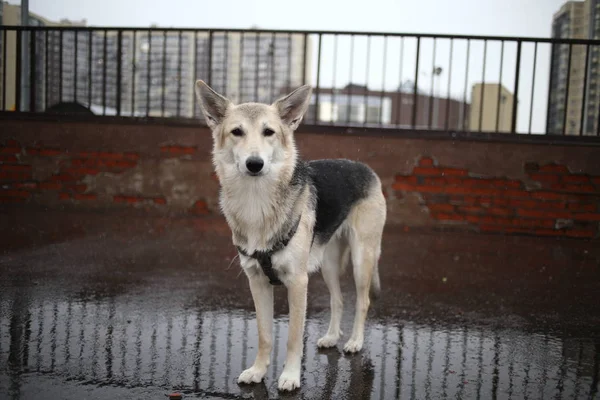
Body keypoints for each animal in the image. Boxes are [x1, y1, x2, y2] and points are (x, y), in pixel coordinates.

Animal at [195, 80, 386, 390]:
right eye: (237, 132)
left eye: (269, 132)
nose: (255, 164)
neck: (257, 203)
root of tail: (365, 167)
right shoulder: (257, 281)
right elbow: (265, 334)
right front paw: (258, 371)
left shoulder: (298, 282)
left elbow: (294, 338)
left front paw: (290, 376)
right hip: (328, 264)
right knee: (338, 300)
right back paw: (332, 337)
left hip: (362, 260)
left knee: (363, 301)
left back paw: (355, 342)